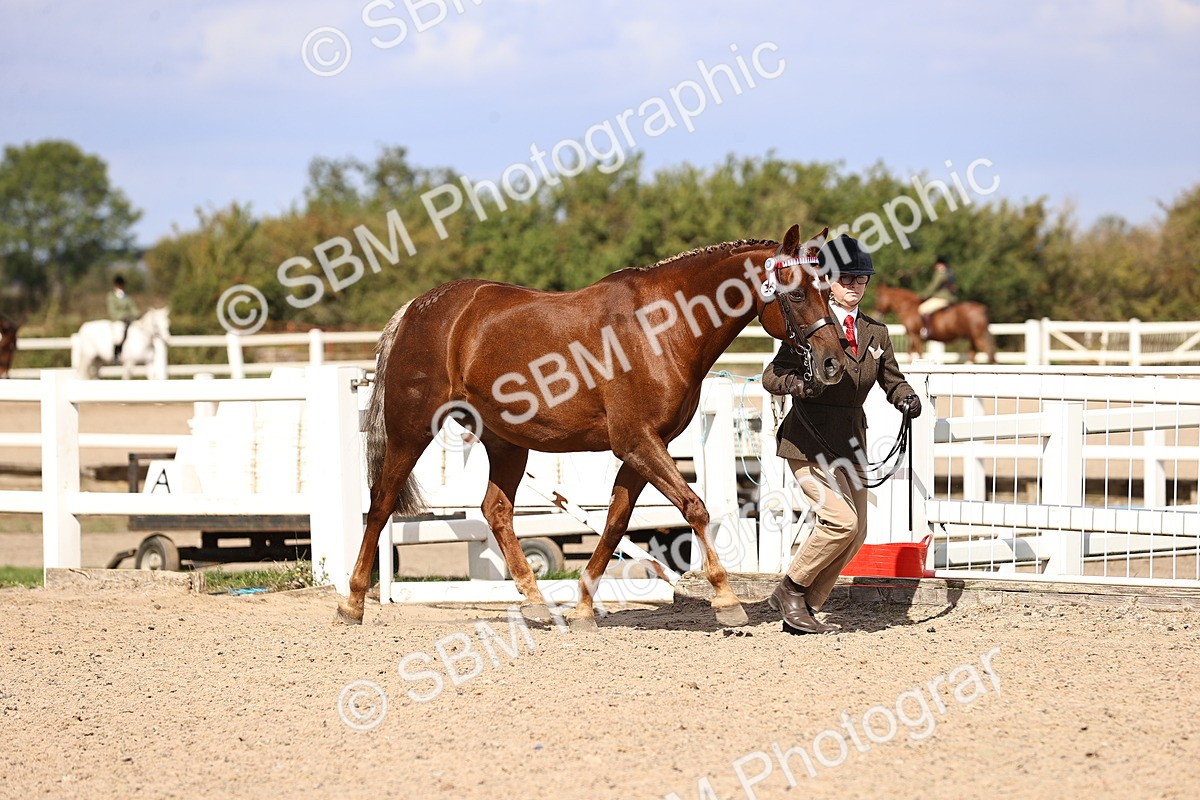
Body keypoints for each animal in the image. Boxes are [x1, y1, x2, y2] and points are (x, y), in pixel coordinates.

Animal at [337, 224, 850, 628]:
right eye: (798, 293)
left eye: (827, 290)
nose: (832, 363)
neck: (662, 327)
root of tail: (417, 308)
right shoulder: (637, 442)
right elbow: (695, 508)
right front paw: (726, 600)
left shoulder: (644, 448)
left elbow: (615, 522)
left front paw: (583, 608)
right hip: (412, 430)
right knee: (381, 503)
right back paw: (354, 601)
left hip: (506, 444)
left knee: (496, 512)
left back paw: (536, 603)